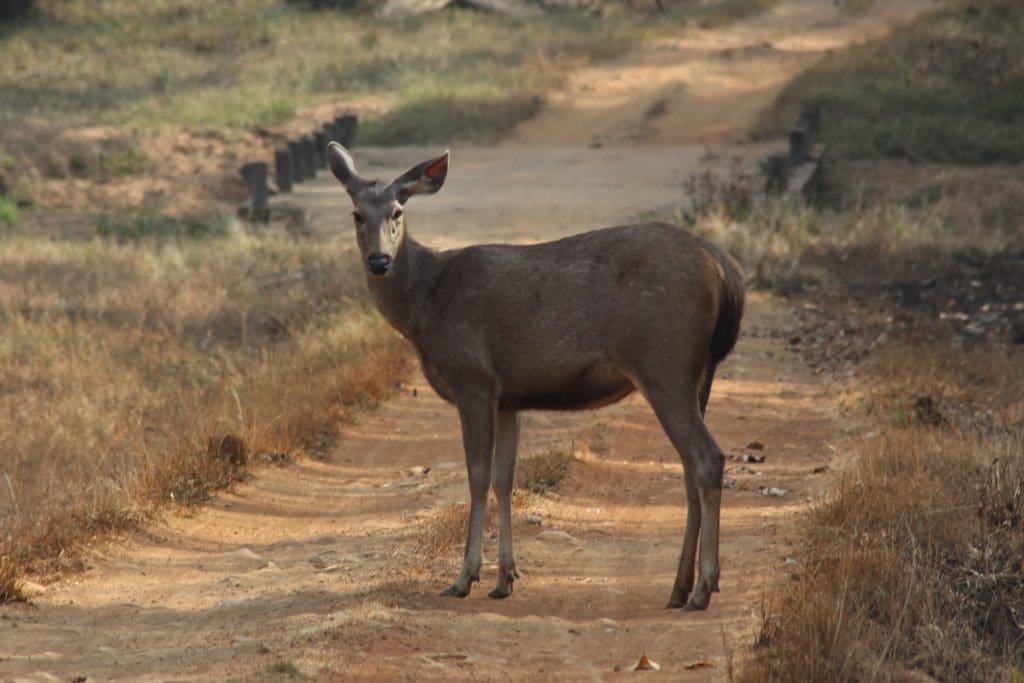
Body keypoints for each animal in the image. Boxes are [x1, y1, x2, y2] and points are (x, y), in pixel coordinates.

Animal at [325, 141, 745, 610]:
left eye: (398, 211)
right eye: (356, 214)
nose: (379, 261)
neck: (425, 309)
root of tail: (727, 272)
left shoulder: (474, 379)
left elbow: (477, 476)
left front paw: (464, 577)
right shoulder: (509, 398)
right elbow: (504, 479)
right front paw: (505, 578)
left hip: (664, 361)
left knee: (707, 458)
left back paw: (704, 586)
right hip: (700, 371)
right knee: (690, 470)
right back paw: (679, 587)